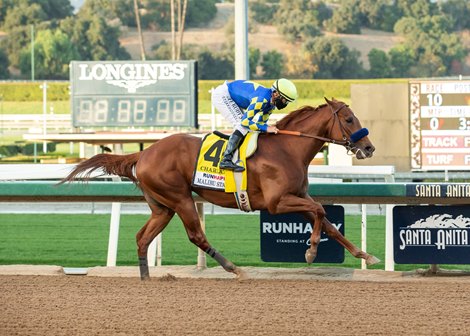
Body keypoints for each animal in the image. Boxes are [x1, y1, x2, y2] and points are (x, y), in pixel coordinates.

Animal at [61, 98, 378, 280]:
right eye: (349, 119)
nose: (368, 148)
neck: (288, 148)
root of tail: (144, 152)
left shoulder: (298, 196)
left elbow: (329, 224)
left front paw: (364, 255)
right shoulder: (278, 203)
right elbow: (321, 210)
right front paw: (311, 252)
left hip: (162, 207)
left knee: (142, 238)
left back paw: (147, 280)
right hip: (180, 198)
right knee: (196, 235)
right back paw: (233, 268)